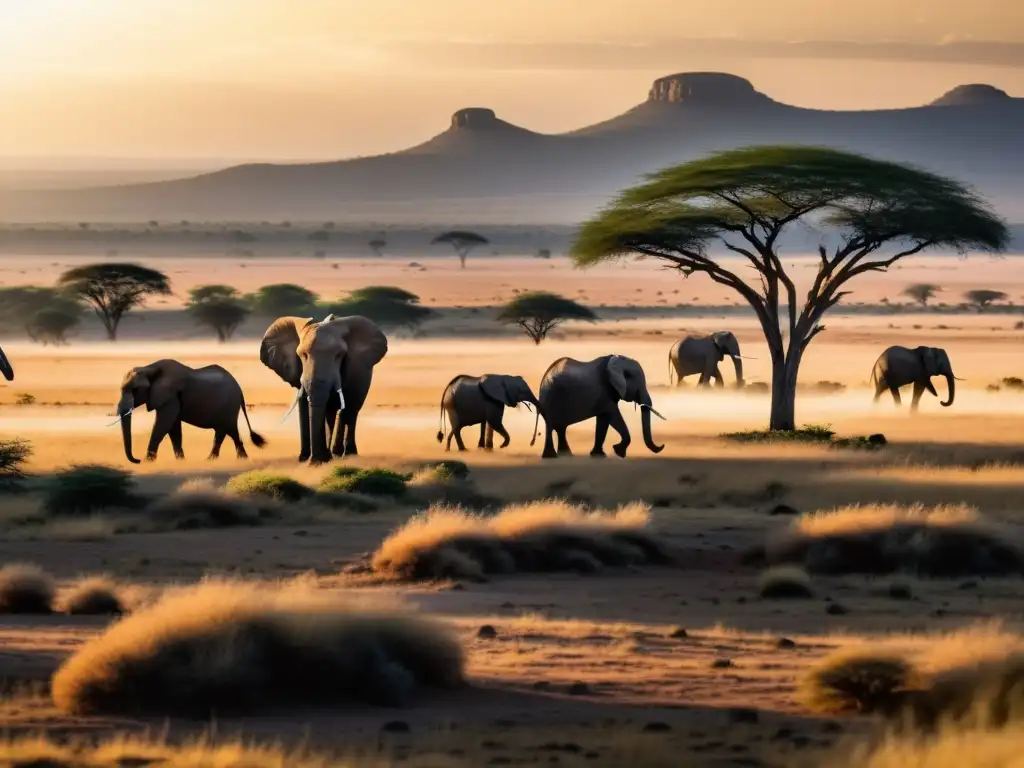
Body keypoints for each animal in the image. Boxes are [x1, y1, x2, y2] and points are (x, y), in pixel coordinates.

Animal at [113, 360, 266, 462]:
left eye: (135, 390)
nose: (137, 460)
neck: (149, 368)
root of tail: (239, 389)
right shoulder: (171, 399)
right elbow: (173, 428)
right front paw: (180, 460)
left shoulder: (170, 396)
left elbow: (163, 425)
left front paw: (148, 461)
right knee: (223, 431)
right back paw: (213, 459)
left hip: (230, 406)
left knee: (231, 430)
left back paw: (239, 459)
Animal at [260, 313, 387, 462]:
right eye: (302, 355)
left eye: (339, 355)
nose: (314, 460)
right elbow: (305, 406)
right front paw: (309, 460)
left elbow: (346, 404)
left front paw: (319, 460)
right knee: (332, 412)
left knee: (350, 410)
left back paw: (345, 454)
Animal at [532, 356, 667, 460]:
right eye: (639, 385)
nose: (662, 445)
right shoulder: (605, 394)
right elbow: (612, 416)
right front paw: (618, 452)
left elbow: (603, 420)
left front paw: (599, 455)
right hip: (551, 399)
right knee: (550, 426)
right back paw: (550, 457)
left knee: (560, 428)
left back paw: (566, 455)